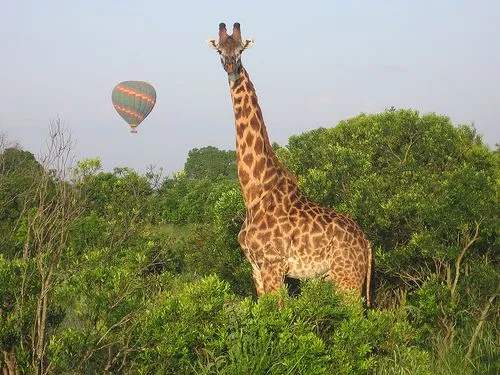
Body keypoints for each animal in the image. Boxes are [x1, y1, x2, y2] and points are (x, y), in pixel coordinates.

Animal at [207, 22, 372, 306]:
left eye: (240, 50)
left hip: (348, 279)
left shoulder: (273, 264)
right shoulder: (256, 268)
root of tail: (368, 244)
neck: (254, 193)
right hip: (332, 278)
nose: (230, 67)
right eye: (219, 50)